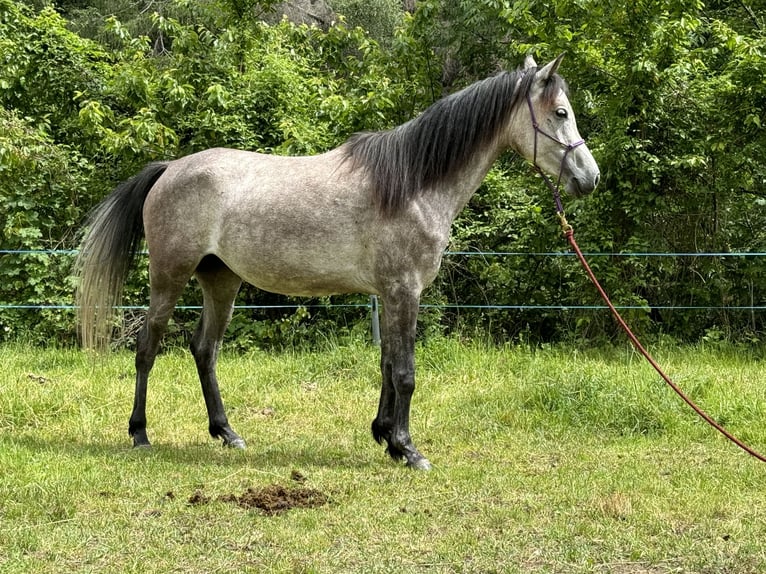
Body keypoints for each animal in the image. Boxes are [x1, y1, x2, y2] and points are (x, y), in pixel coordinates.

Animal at [74, 55, 600, 470]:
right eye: (560, 112)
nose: (589, 178)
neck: (412, 184)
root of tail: (170, 169)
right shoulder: (404, 290)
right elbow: (405, 372)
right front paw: (409, 450)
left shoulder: (389, 293)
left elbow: (388, 363)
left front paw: (385, 437)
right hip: (169, 276)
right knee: (147, 348)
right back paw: (140, 433)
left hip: (221, 281)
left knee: (204, 350)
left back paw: (227, 433)